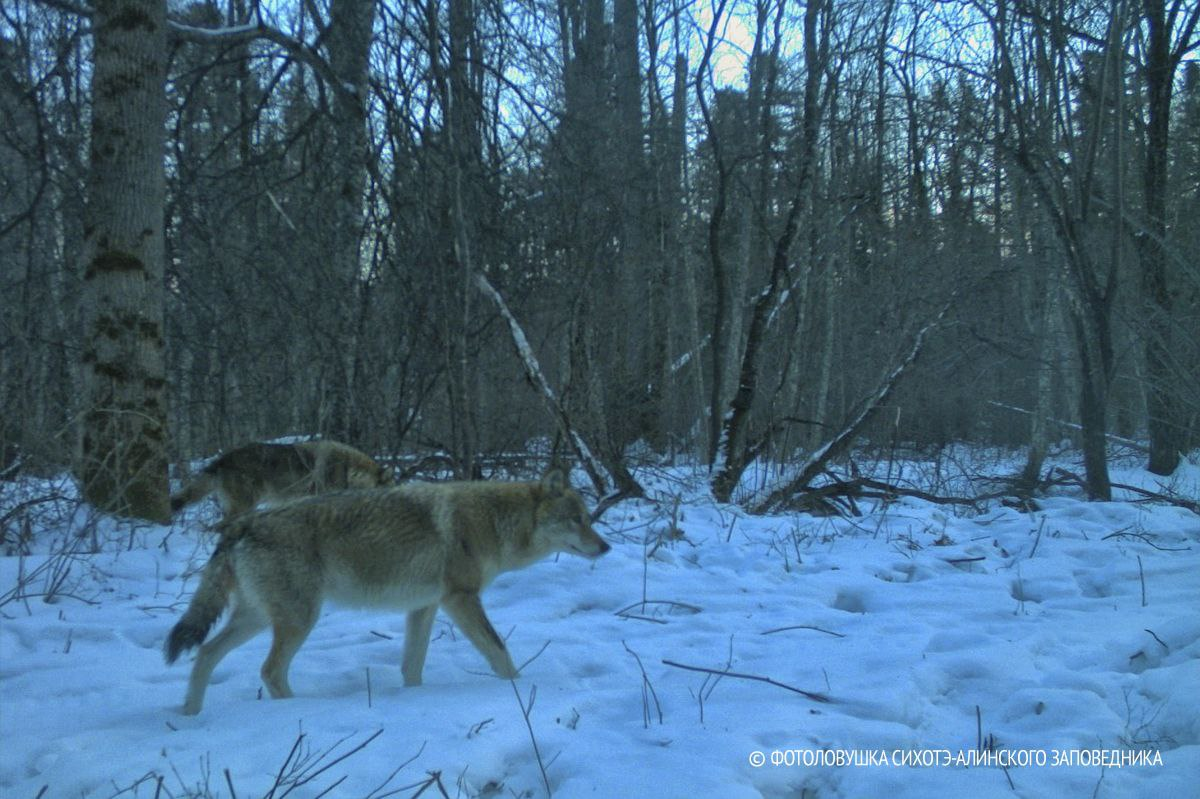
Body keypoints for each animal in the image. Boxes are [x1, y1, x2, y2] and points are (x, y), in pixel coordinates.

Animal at [164, 463, 609, 710]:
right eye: (578, 520)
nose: (606, 547)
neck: (492, 521)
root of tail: (242, 524)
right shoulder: (461, 599)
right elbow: (500, 654)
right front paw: (520, 690)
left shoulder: (425, 606)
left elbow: (412, 666)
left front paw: (412, 700)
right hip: (298, 620)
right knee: (270, 671)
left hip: (259, 618)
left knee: (205, 653)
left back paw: (189, 714)